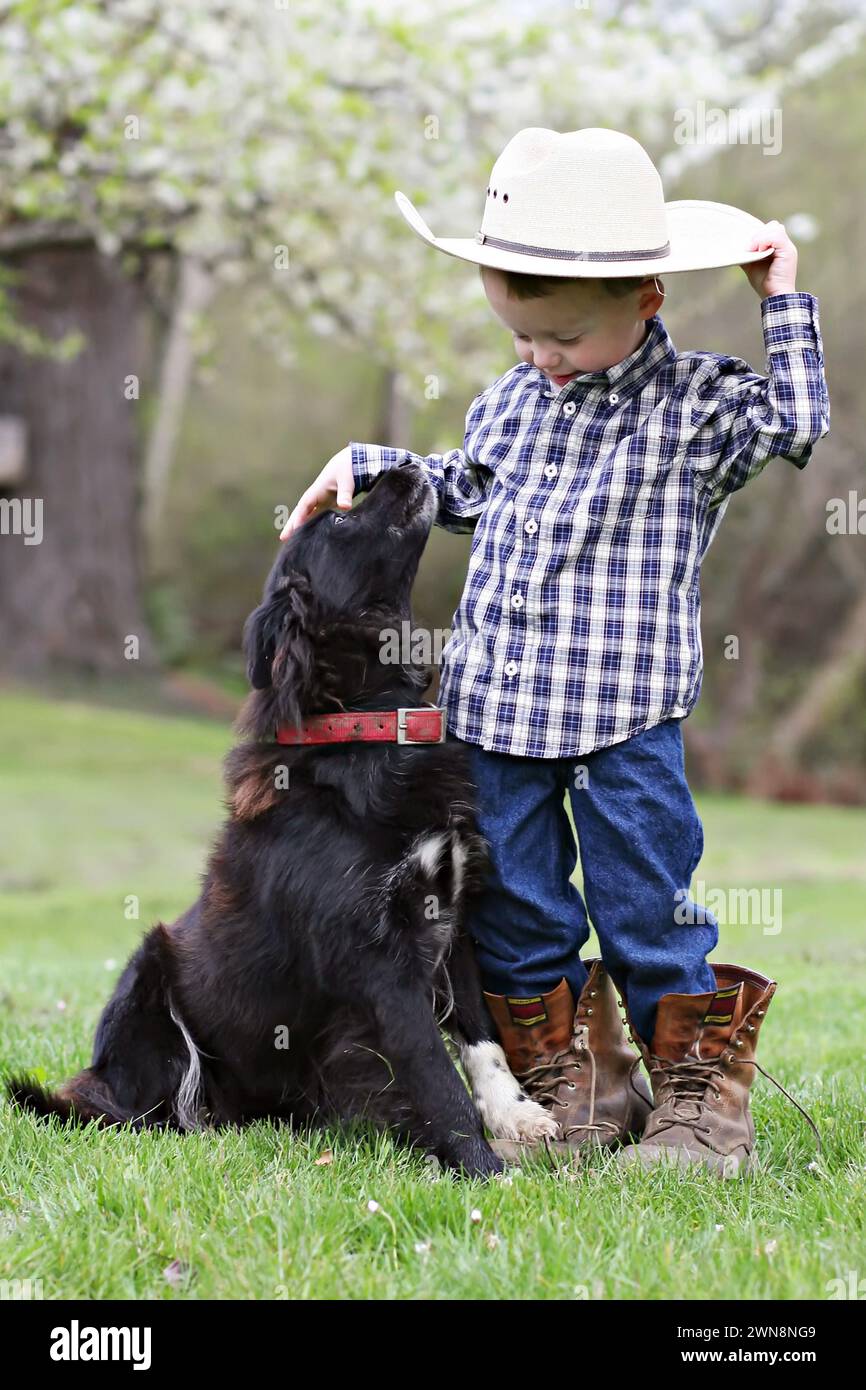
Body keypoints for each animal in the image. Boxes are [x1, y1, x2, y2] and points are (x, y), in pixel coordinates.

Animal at [6, 464, 553, 1173]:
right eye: (341, 520)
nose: (405, 467)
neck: (365, 729)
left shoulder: (450, 918)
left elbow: (482, 1040)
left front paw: (515, 1116)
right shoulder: (379, 964)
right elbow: (435, 1074)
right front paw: (482, 1169)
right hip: (147, 982)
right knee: (159, 1109)